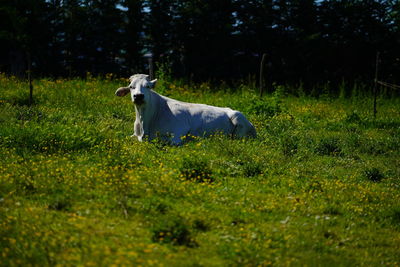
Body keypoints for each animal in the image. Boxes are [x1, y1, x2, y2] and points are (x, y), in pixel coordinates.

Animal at [115, 74, 256, 146]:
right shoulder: (134, 135)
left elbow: (170, 142)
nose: (138, 96)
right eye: (131, 87)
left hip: (238, 120)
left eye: (148, 86)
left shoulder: (180, 130)